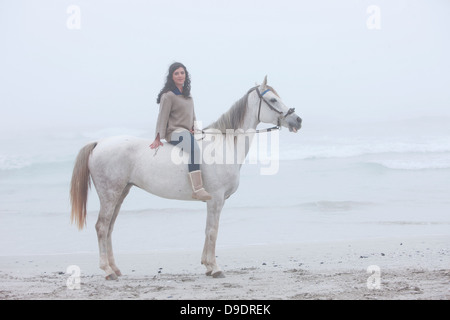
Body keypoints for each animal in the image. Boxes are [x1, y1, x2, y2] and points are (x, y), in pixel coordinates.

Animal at [70, 76, 302, 278]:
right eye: (273, 99)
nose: (297, 119)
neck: (224, 146)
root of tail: (99, 143)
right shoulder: (216, 199)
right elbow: (212, 231)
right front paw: (214, 268)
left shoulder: (215, 201)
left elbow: (208, 230)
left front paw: (207, 266)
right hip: (110, 194)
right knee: (102, 227)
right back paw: (107, 271)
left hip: (120, 193)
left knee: (109, 227)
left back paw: (115, 269)